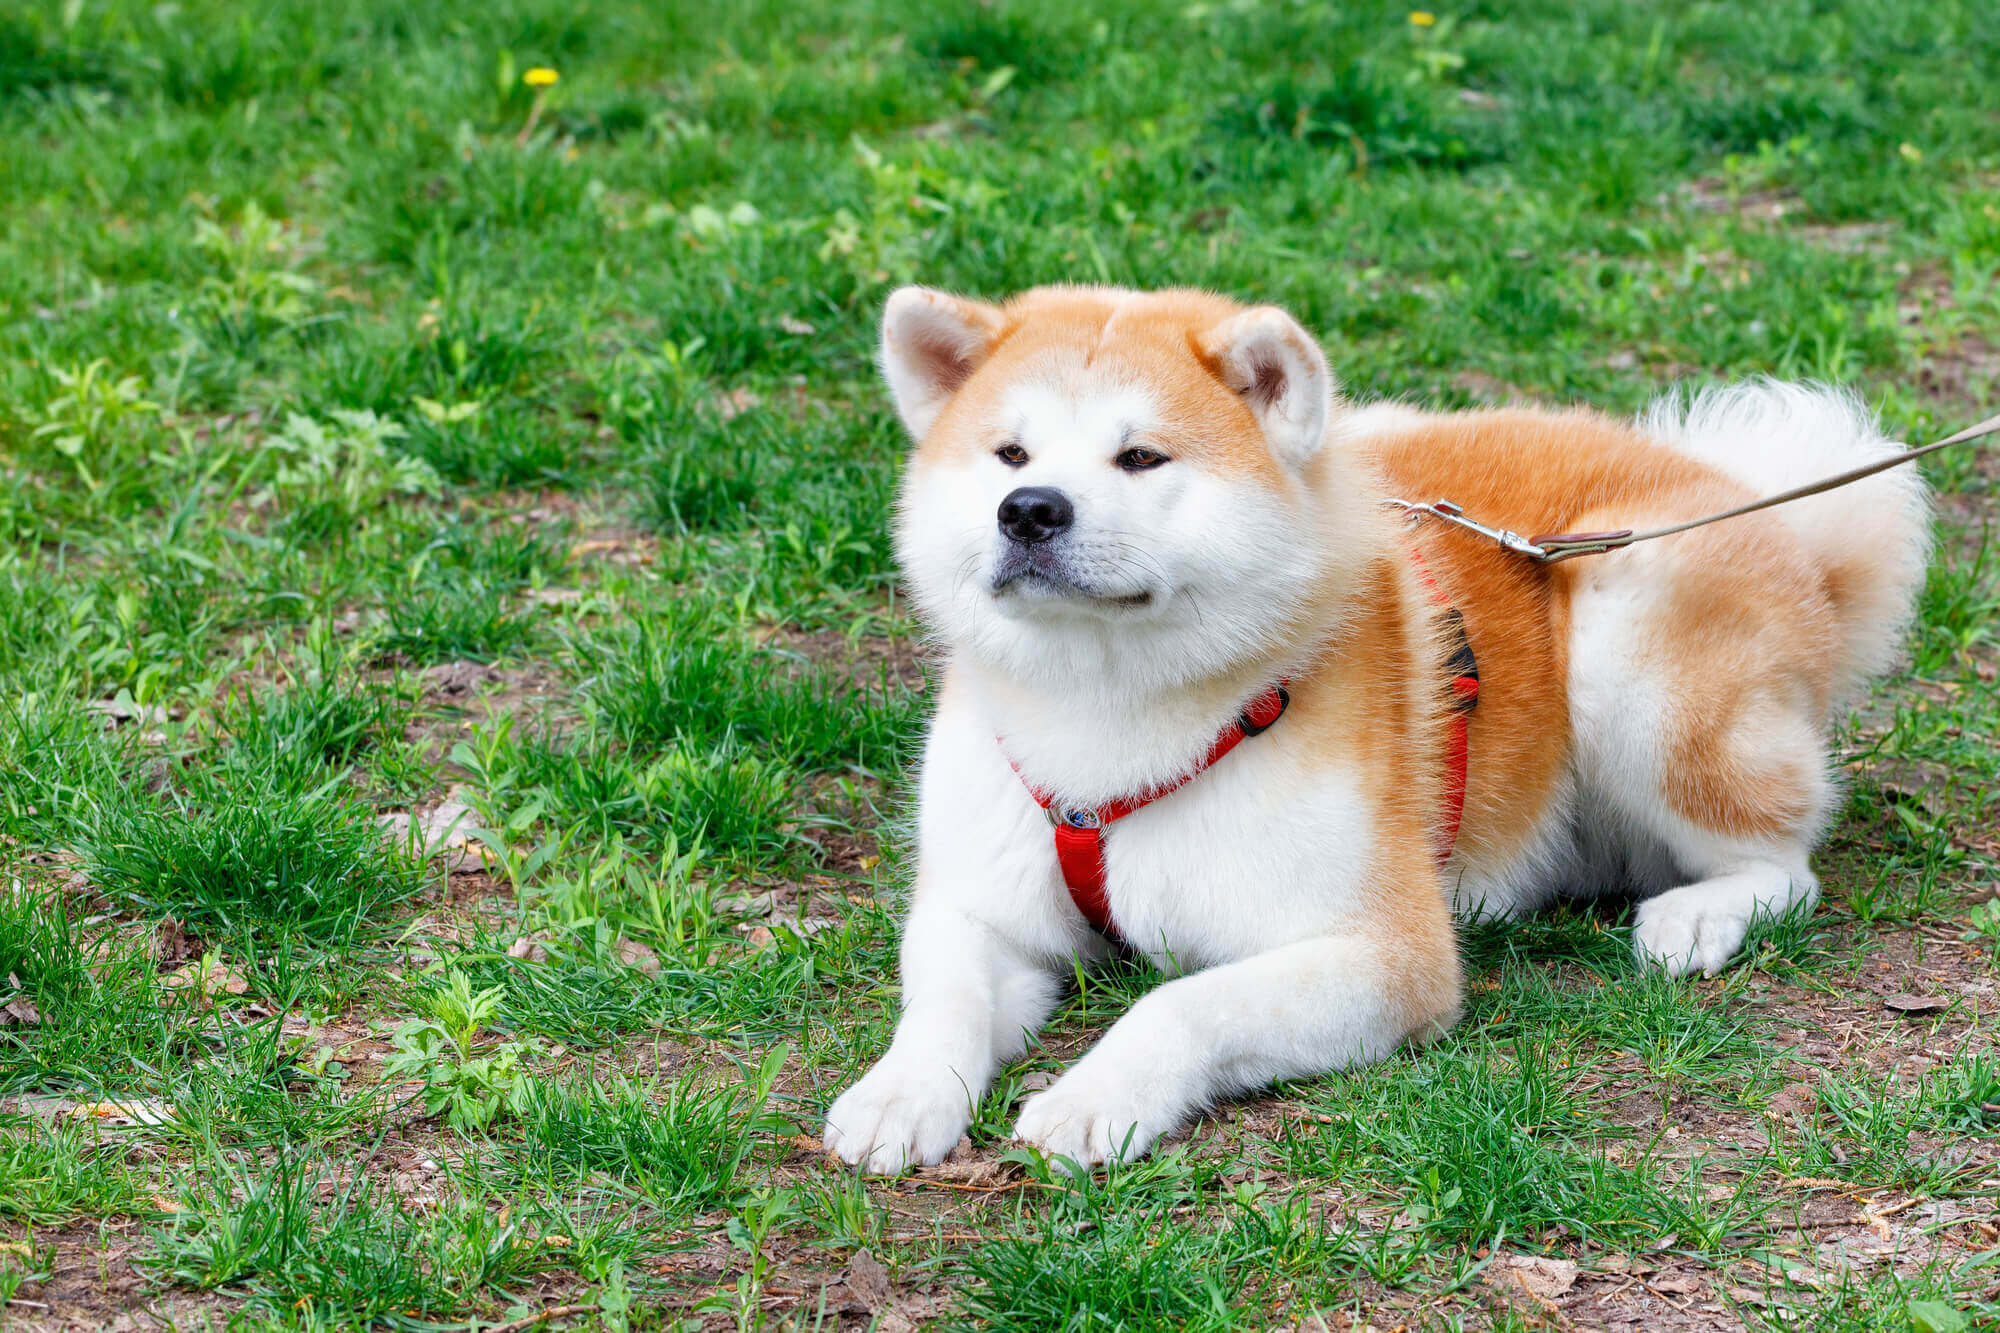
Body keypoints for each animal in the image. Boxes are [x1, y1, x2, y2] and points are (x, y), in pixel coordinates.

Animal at [820, 282, 1928, 1160]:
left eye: (1140, 457)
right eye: (1008, 452)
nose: (1029, 509)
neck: (1105, 720)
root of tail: (1777, 524)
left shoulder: (1386, 955)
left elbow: (1178, 1001)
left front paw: (1096, 1093)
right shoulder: (982, 907)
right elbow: (943, 998)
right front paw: (899, 1094)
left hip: (1629, 637)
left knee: (1785, 863)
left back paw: (1700, 914)